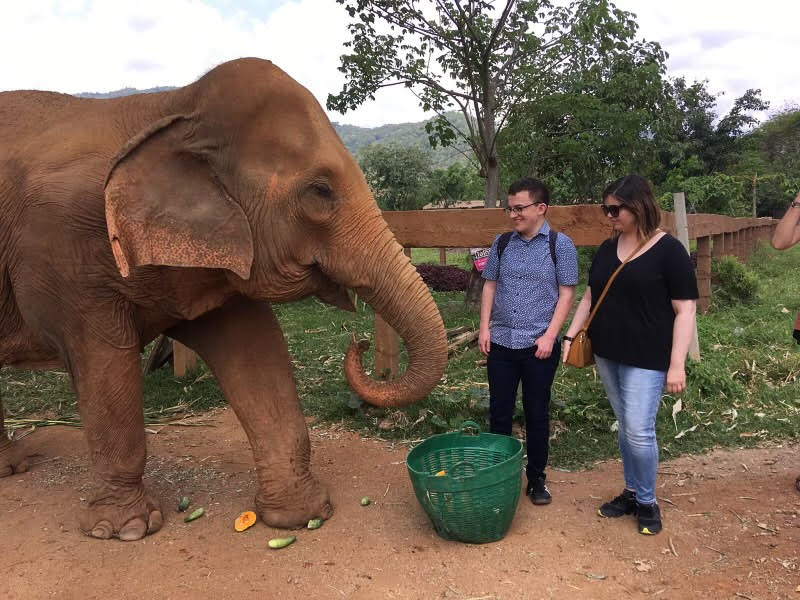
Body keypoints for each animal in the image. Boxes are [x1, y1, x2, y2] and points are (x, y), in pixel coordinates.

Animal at [0, 58, 450, 540]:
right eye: (321, 191)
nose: (359, 342)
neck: (171, 107)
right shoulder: (67, 264)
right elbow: (104, 363)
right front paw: (125, 529)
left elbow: (255, 349)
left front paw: (302, 514)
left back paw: (10, 468)